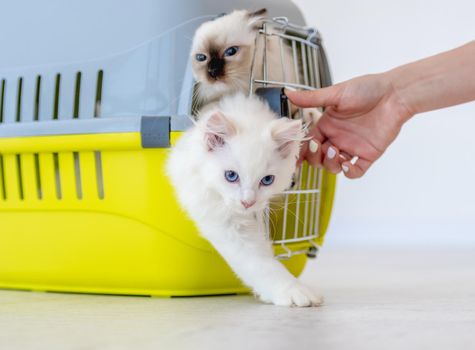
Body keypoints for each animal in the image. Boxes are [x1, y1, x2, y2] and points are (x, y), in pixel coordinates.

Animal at [167, 94, 324, 308]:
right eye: (231, 176)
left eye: (267, 180)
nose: (247, 203)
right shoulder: (222, 219)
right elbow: (261, 264)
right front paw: (294, 291)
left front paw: (312, 115)